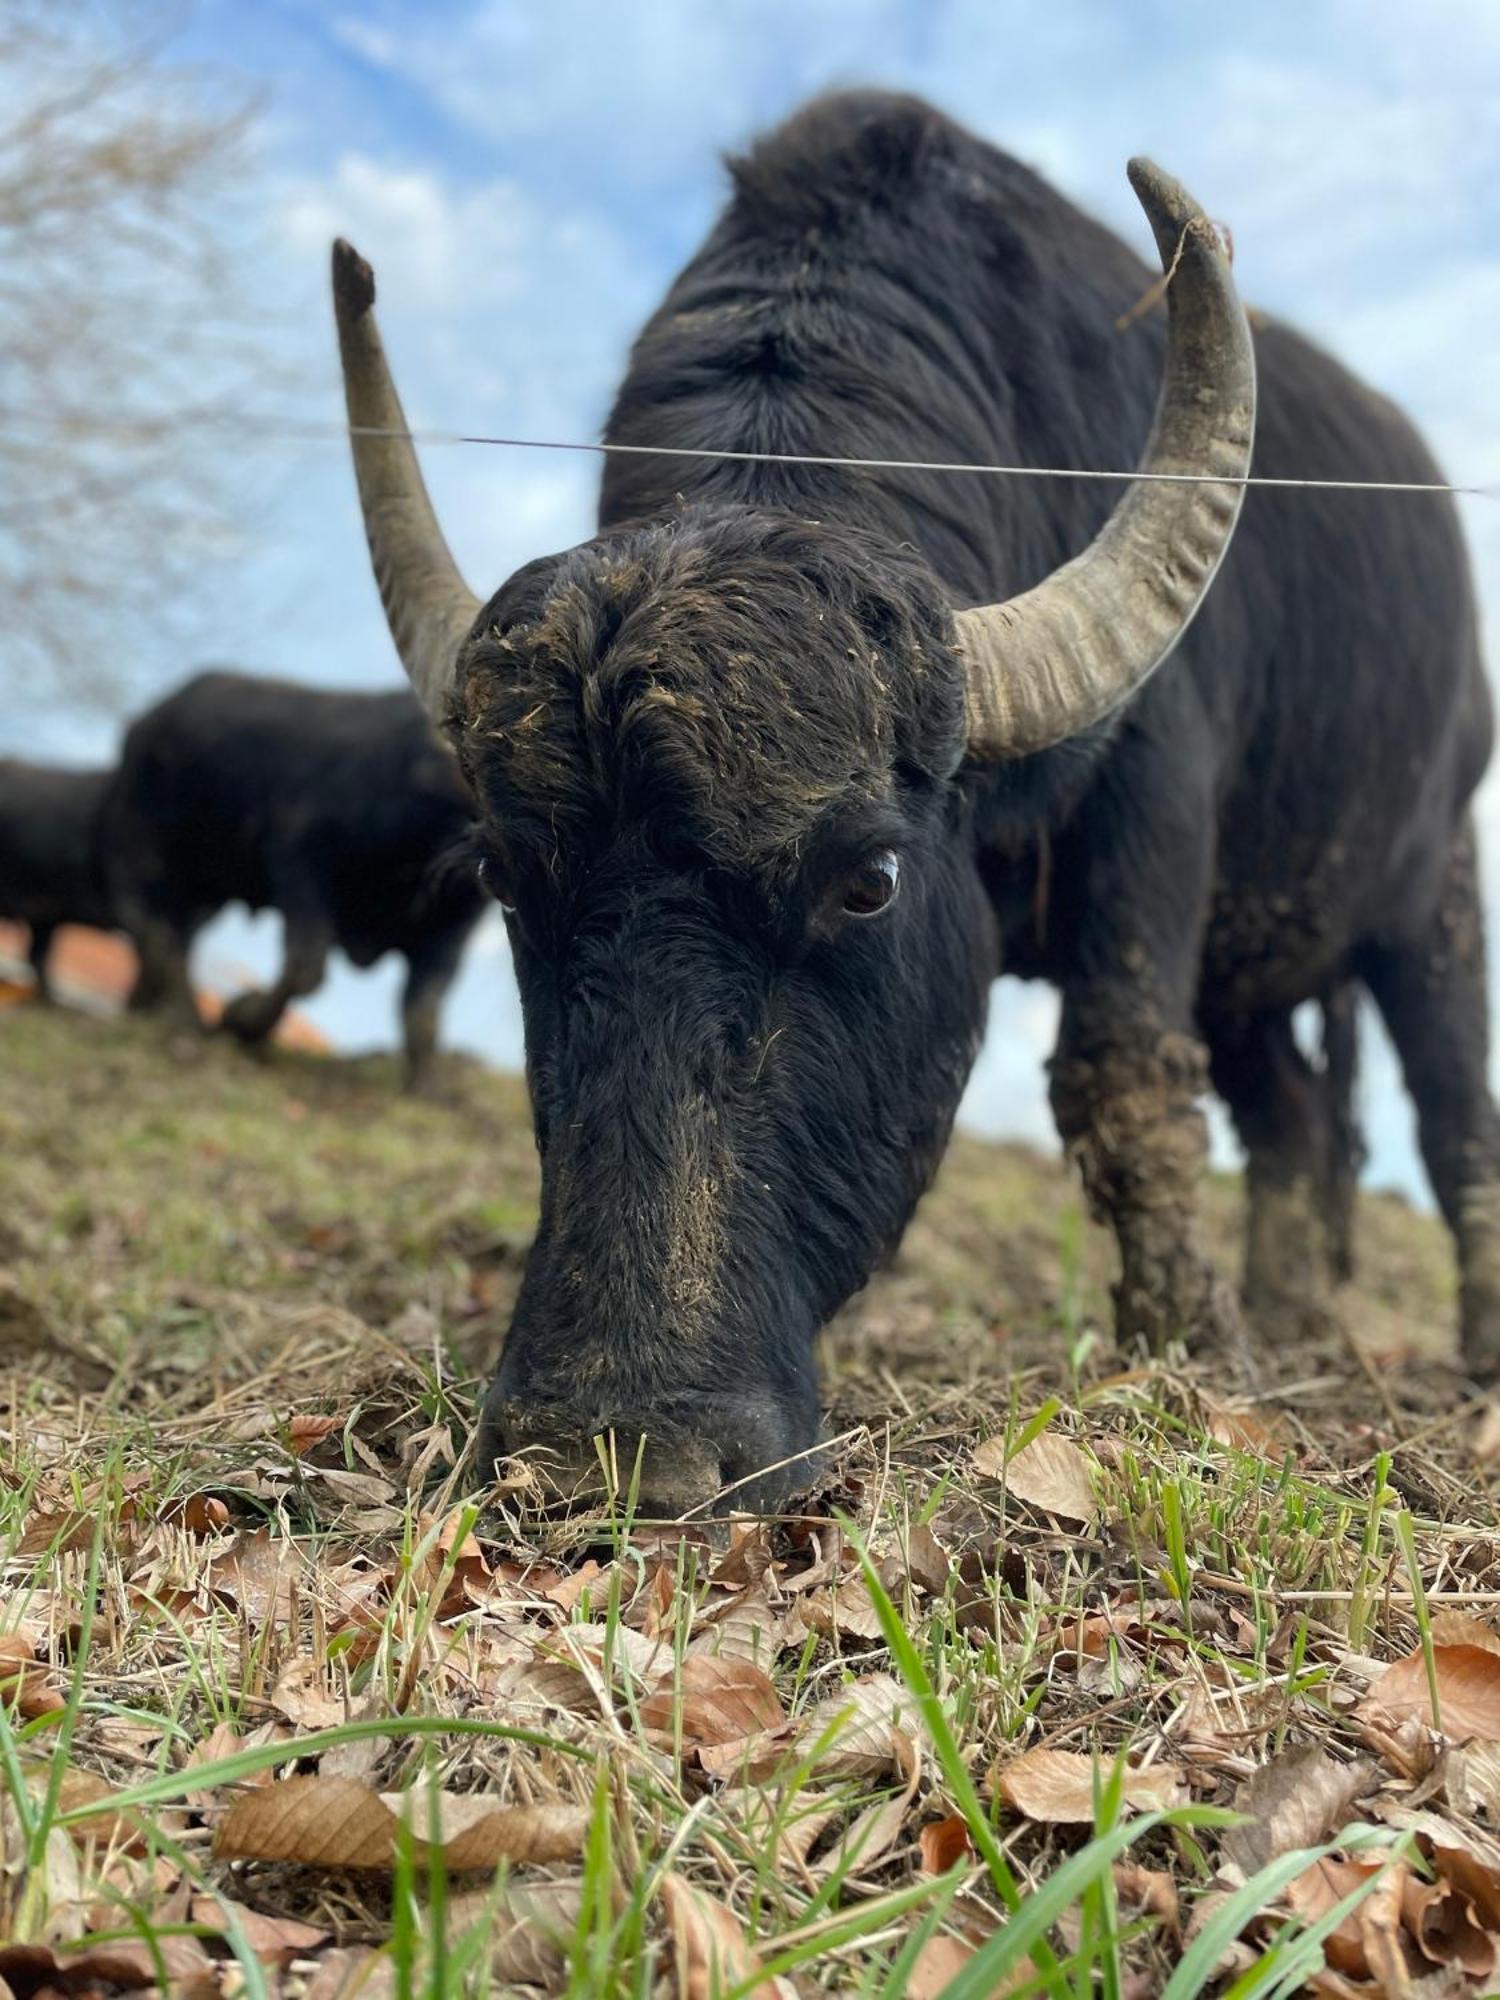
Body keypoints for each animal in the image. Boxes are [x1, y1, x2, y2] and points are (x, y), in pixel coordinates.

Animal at [106, 668, 482, 1080]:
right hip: (146, 851)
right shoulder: (300, 856)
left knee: (176, 937)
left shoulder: (452, 929)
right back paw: (182, 1019)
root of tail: (144, 723)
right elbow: (305, 967)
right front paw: (241, 1018)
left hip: (204, 886)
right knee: (156, 932)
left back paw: (147, 1008)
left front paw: (429, 1086)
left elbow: (423, 1010)